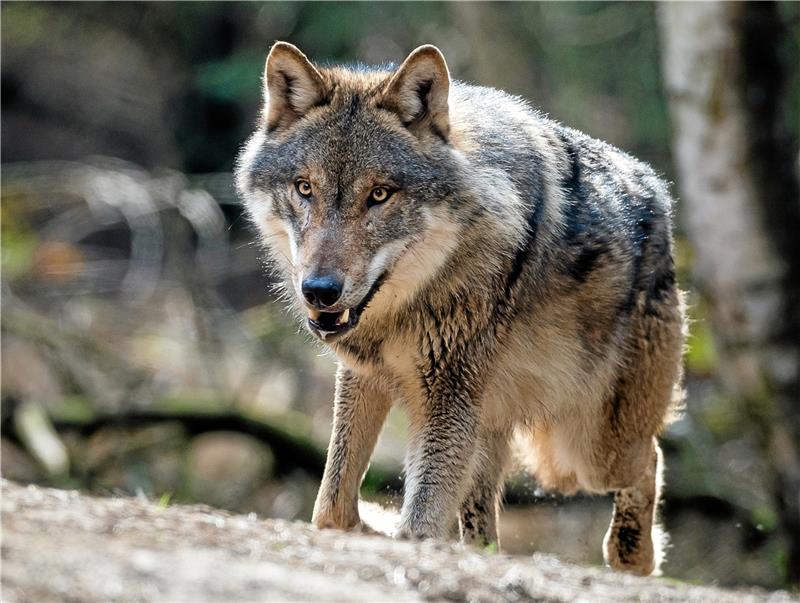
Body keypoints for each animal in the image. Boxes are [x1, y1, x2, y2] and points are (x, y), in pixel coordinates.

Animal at [236, 42, 685, 576]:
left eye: (380, 194)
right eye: (305, 188)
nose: (320, 290)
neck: (405, 309)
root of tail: (659, 193)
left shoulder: (446, 397)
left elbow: (418, 524)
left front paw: (400, 534)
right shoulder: (365, 376)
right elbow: (331, 509)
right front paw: (374, 524)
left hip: (585, 450)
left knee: (650, 457)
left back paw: (633, 556)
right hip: (492, 427)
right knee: (483, 525)